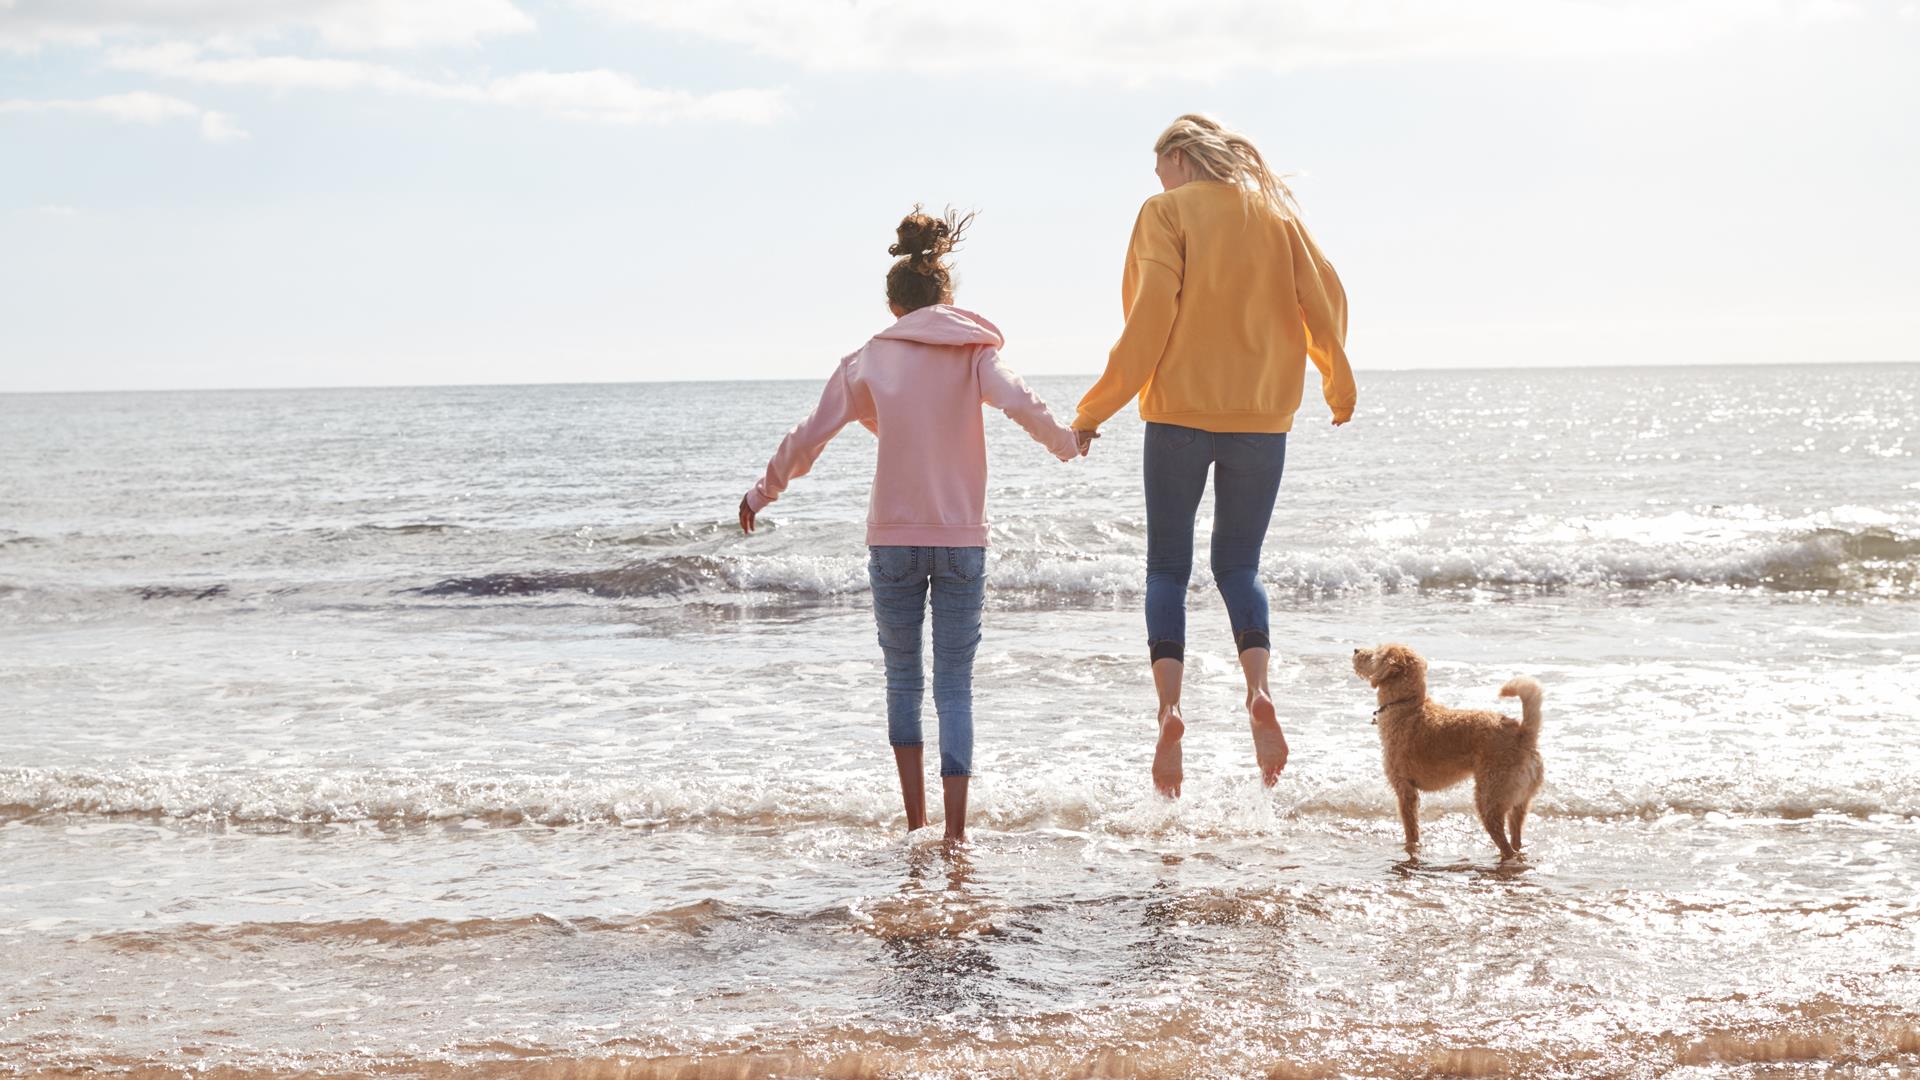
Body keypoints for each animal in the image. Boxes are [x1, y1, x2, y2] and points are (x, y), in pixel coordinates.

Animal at [1351, 638, 1543, 857]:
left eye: (1376, 653)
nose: (1355, 650)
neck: (1407, 705)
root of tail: (1523, 734)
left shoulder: (1405, 790)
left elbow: (1411, 832)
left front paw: (1411, 849)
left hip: (1489, 799)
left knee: (1507, 847)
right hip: (1519, 804)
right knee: (1516, 840)